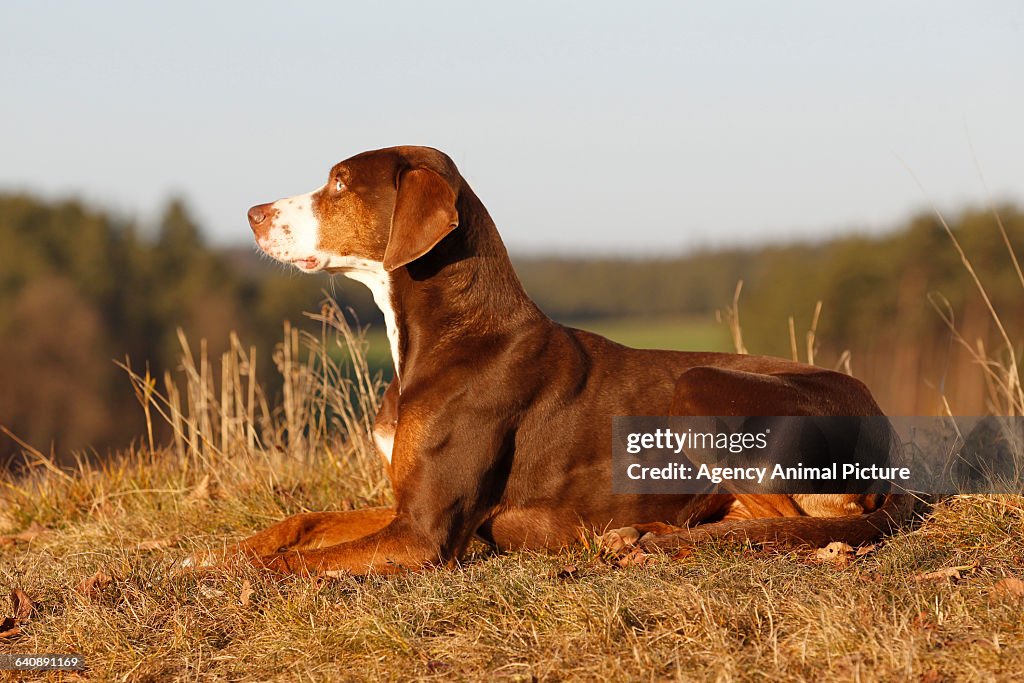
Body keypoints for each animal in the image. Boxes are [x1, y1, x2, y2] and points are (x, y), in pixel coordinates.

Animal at [222, 147, 905, 573]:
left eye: (339, 183)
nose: (252, 213)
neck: (448, 335)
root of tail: (885, 436)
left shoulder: (422, 535)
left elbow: (299, 564)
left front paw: (236, 578)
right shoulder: (402, 509)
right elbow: (300, 524)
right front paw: (220, 554)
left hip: (700, 388)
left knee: (784, 526)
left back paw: (649, 540)